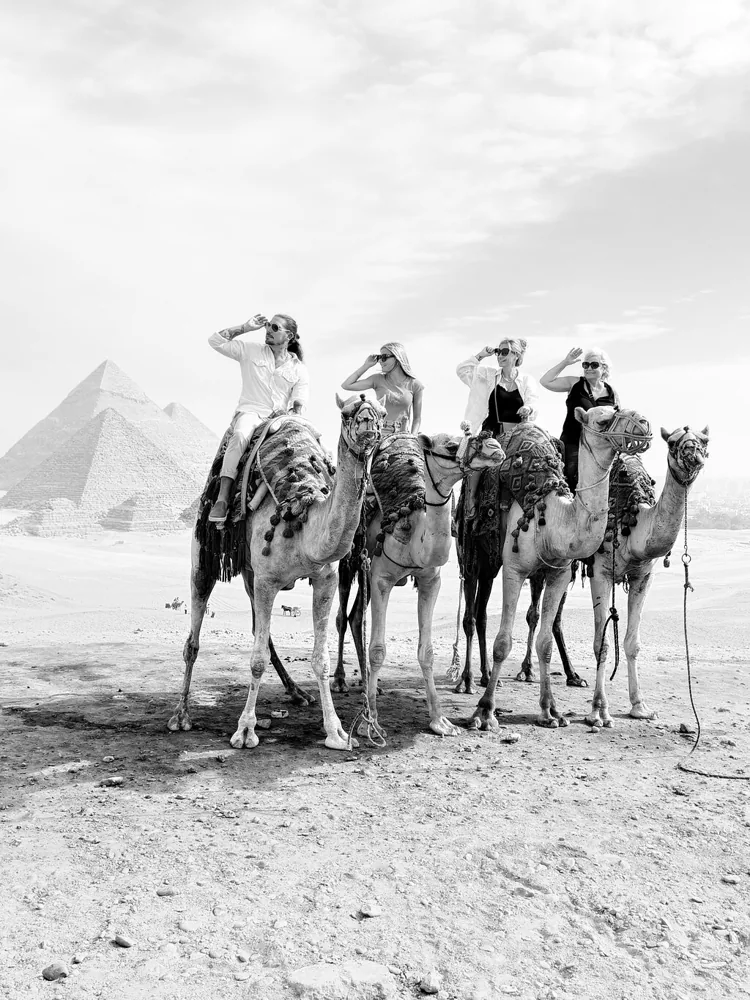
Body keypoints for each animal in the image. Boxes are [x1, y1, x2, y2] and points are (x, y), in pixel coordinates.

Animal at [168, 394, 385, 750]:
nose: (368, 424)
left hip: (250, 575)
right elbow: (255, 660)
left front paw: (336, 731)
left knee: (260, 631)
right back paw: (181, 715)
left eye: (381, 412)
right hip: (204, 555)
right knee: (194, 638)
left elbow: (320, 659)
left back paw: (297, 693)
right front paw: (245, 731)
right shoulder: (268, 580)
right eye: (346, 412)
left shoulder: (324, 578)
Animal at [334, 430, 506, 737]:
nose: (494, 446)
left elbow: (426, 652)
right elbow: (378, 650)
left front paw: (440, 721)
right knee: (343, 616)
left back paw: (368, 685)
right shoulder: (382, 579)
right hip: (350, 562)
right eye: (450, 445)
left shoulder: (430, 580)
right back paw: (342, 681)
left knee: (355, 617)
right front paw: (371, 723)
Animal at [468, 405, 651, 730]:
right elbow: (503, 642)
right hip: (477, 556)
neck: (551, 512)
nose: (643, 423)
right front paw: (485, 712)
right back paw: (471, 679)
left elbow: (545, 642)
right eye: (603, 420)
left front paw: (549, 711)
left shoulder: (559, 572)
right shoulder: (514, 570)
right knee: (474, 613)